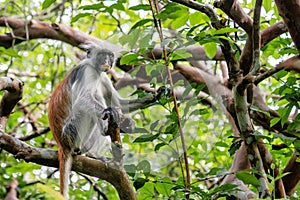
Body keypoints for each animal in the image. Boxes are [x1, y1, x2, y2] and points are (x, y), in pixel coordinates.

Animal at [48, 42, 152, 198]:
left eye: (110, 56)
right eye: (103, 55)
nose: (107, 62)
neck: (96, 69)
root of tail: (61, 143)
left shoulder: (103, 77)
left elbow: (120, 103)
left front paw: (156, 96)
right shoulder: (88, 71)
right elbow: (82, 101)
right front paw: (112, 113)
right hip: (72, 133)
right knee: (92, 104)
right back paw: (100, 140)